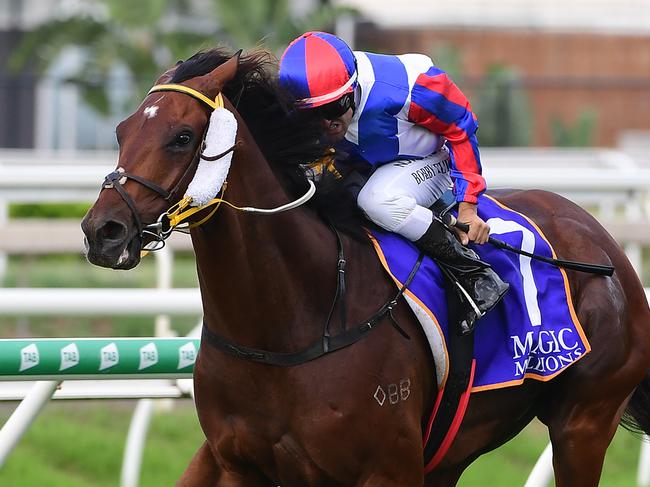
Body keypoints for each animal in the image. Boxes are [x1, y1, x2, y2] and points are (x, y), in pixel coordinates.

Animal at [81, 47, 648, 486]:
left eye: (181, 136)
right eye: (121, 130)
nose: (102, 231)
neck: (290, 325)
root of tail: (604, 242)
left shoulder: (388, 468)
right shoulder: (229, 459)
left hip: (583, 425)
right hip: (457, 448)